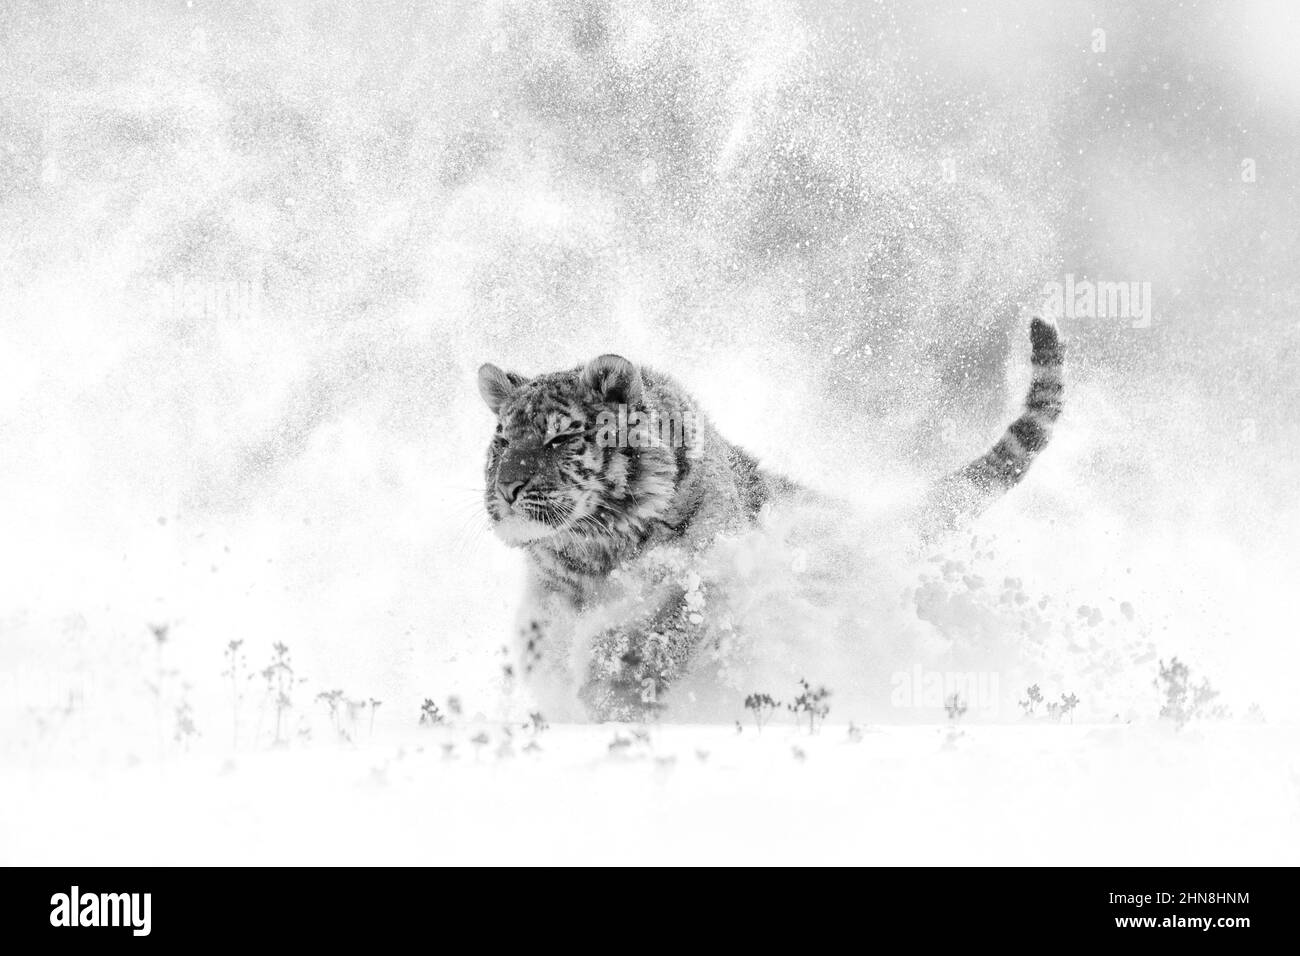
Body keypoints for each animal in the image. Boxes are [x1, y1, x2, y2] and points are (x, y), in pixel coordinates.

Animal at [477, 317, 1064, 721]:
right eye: (502, 439)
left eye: (560, 437)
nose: (507, 488)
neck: (594, 549)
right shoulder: (552, 594)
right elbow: (550, 645)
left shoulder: (704, 576)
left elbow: (652, 634)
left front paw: (610, 688)